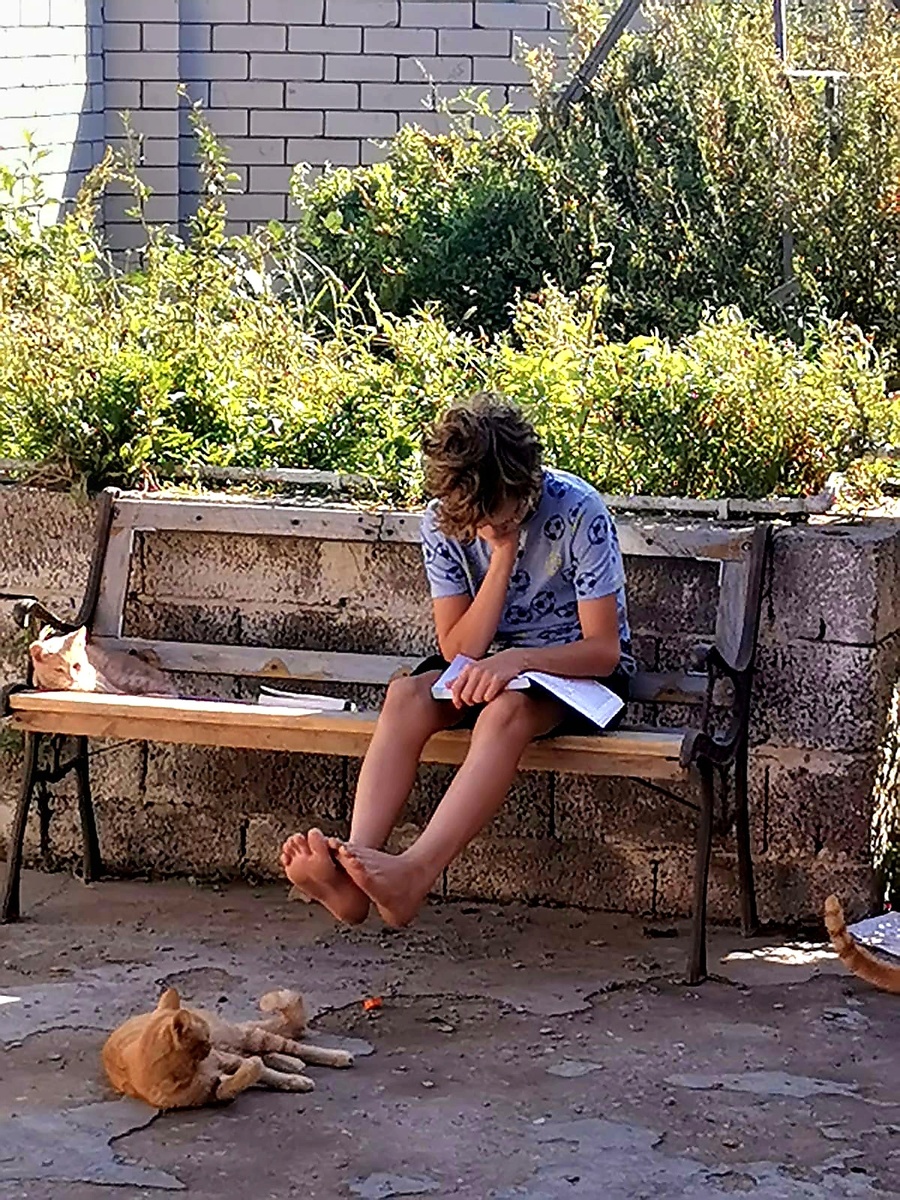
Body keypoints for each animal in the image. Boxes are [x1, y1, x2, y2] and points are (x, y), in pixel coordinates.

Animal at [102, 986, 354, 1111]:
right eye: (204, 1038)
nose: (211, 1044)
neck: (188, 1069)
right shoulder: (214, 1093)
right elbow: (236, 1082)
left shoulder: (227, 1060)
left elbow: (268, 1073)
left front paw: (292, 1080)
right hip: (244, 1044)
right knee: (266, 1052)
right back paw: (292, 1064)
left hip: (251, 1038)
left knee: (295, 1044)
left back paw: (336, 1057)